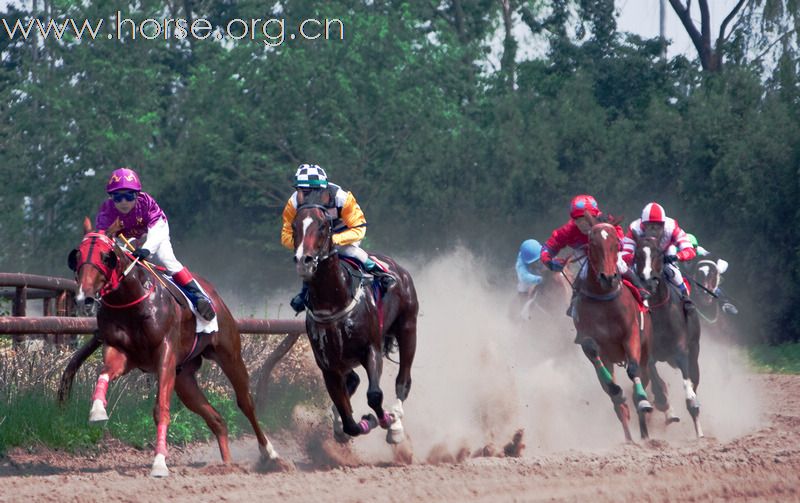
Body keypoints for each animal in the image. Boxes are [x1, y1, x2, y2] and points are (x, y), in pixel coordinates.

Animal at [60, 218, 290, 476]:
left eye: (106, 256)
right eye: (77, 256)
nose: (84, 298)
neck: (132, 302)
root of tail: (215, 295)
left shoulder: (165, 356)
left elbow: (161, 409)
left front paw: (159, 463)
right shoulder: (121, 352)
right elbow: (104, 373)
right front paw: (97, 410)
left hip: (229, 355)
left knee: (245, 403)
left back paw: (271, 454)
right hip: (184, 378)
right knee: (217, 420)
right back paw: (227, 465)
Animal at [294, 190, 418, 444]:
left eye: (323, 226)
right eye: (293, 226)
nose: (304, 261)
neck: (333, 301)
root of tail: (399, 269)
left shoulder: (371, 349)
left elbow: (375, 395)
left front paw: (383, 419)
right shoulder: (329, 366)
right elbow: (348, 418)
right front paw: (358, 423)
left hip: (408, 328)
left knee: (403, 381)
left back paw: (396, 424)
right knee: (353, 382)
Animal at [572, 219, 652, 442]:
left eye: (616, 244)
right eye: (592, 244)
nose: (608, 277)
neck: (604, 298)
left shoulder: (631, 334)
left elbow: (633, 370)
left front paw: (642, 399)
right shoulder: (588, 337)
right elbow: (591, 349)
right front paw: (616, 389)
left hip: (646, 353)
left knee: (642, 376)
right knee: (618, 405)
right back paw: (629, 437)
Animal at [636, 236, 704, 438]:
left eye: (659, 253)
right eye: (637, 254)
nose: (648, 282)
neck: (660, 314)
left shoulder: (681, 353)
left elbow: (689, 392)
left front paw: (699, 433)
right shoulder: (648, 356)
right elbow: (658, 385)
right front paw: (665, 406)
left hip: (694, 354)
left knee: (695, 381)